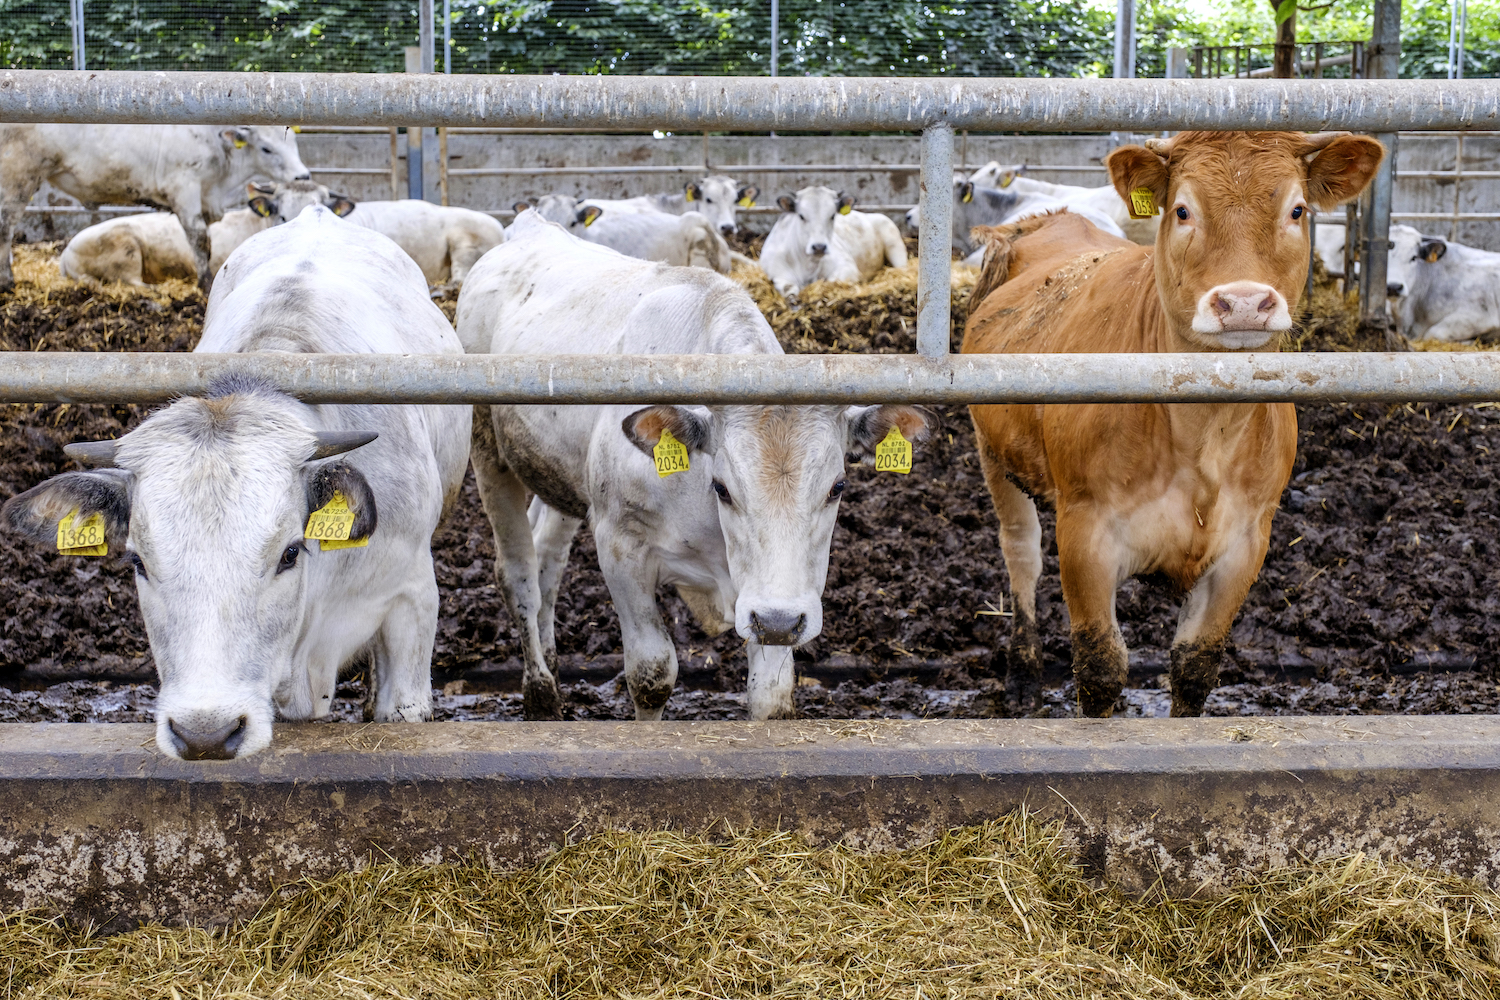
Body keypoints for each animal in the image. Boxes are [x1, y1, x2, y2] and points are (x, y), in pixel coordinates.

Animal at [455, 210, 929, 721]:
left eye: (838, 487)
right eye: (721, 487)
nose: (779, 619)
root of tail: (530, 225)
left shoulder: (766, 600)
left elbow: (771, 695)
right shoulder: (620, 547)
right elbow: (651, 674)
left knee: (547, 560)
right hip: (488, 451)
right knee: (518, 574)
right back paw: (541, 695)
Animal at [759, 186, 909, 297]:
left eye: (832, 216)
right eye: (801, 216)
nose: (819, 247)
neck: (808, 265)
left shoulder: (847, 267)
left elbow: (831, 282)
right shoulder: (778, 273)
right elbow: (789, 289)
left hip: (894, 244)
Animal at [961, 130, 1382, 718]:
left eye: (1296, 210)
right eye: (1183, 211)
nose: (1244, 303)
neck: (1202, 437)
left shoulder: (1245, 543)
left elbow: (1195, 667)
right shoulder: (1085, 532)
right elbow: (1100, 668)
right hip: (993, 450)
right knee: (1021, 551)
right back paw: (1022, 676)